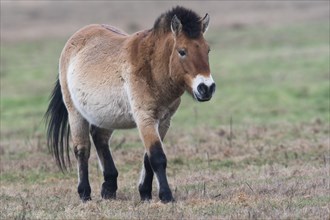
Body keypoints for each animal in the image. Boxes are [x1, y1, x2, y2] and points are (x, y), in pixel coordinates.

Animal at [45, 6, 217, 204]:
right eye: (182, 51)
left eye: (207, 50)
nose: (206, 88)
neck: (152, 68)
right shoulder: (145, 118)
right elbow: (157, 157)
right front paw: (166, 196)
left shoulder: (164, 121)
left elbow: (148, 159)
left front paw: (145, 193)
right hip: (75, 113)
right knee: (82, 150)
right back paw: (84, 193)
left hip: (106, 115)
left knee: (99, 138)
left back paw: (109, 188)